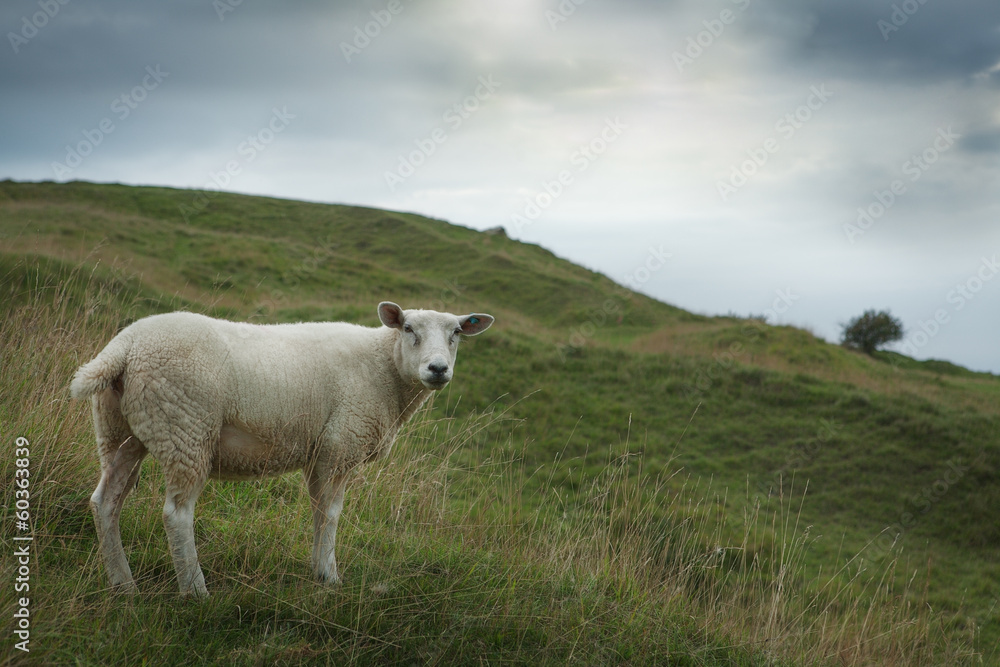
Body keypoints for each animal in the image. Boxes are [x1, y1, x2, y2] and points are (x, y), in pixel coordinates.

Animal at [70, 302, 494, 597]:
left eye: (457, 331)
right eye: (408, 328)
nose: (438, 369)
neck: (383, 368)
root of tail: (125, 346)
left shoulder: (320, 451)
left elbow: (318, 510)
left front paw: (318, 571)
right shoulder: (341, 444)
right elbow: (331, 513)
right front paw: (330, 577)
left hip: (121, 430)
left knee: (106, 501)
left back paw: (123, 585)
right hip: (186, 429)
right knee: (176, 514)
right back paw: (195, 590)